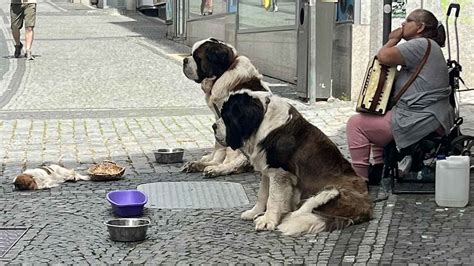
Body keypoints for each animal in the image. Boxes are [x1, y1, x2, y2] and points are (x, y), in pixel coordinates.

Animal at [182, 37, 270, 178]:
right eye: (191, 54)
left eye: (197, 58)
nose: (184, 60)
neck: (222, 74)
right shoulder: (217, 119)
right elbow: (217, 147)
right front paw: (208, 159)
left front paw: (216, 166)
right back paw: (199, 164)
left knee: (233, 164)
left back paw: (215, 169)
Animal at [213, 90, 372, 236]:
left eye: (226, 117)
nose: (214, 126)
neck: (263, 120)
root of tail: (366, 209)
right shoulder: (267, 170)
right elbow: (262, 194)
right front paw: (254, 212)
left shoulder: (279, 172)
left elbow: (273, 198)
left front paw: (267, 220)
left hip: (329, 191)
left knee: (301, 211)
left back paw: (285, 216)